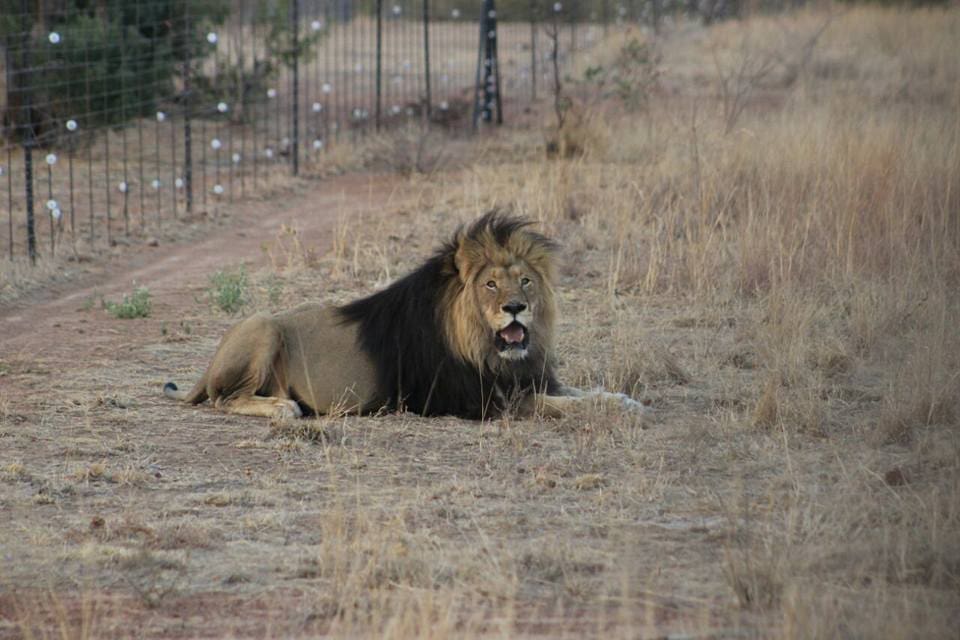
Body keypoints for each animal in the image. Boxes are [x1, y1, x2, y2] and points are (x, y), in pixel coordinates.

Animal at [163, 211, 648, 420]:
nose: (516, 308)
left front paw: (624, 400)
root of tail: (209, 363)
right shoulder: (479, 401)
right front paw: (615, 408)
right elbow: (560, 405)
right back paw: (285, 408)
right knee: (225, 399)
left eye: (525, 281)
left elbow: (583, 393)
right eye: (490, 285)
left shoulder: (525, 379)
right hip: (262, 324)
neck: (485, 349)